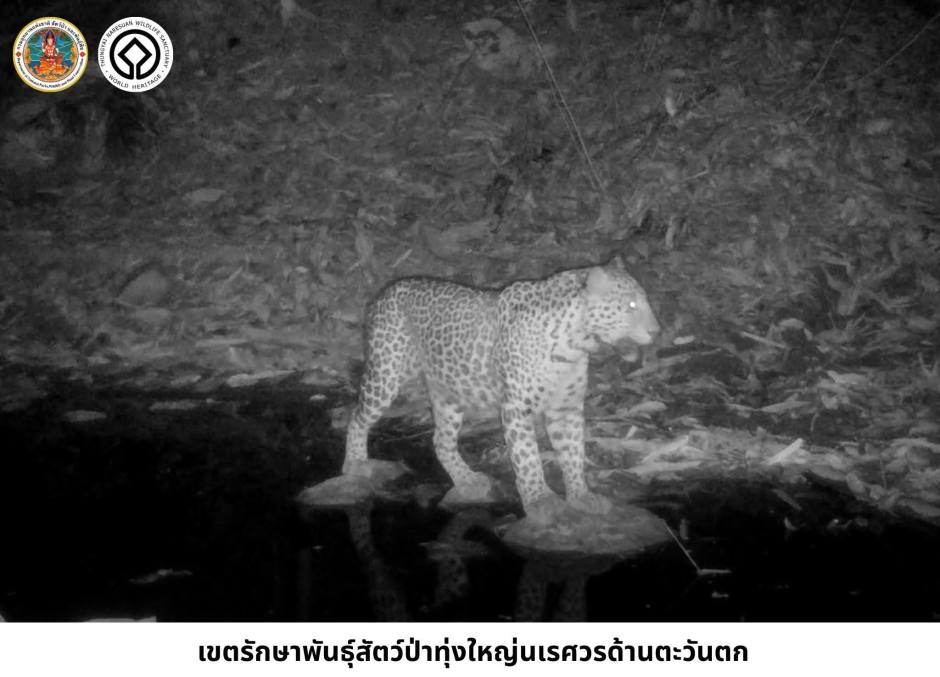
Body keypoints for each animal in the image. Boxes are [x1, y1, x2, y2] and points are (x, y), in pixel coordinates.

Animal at [343, 256, 660, 523]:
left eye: (644, 301)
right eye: (631, 306)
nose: (657, 331)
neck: (576, 343)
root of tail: (386, 291)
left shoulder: (565, 408)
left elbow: (573, 453)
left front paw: (581, 496)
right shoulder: (517, 408)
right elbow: (528, 457)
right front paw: (540, 501)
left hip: (448, 393)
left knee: (441, 440)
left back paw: (467, 479)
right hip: (385, 375)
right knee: (356, 417)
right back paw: (355, 464)